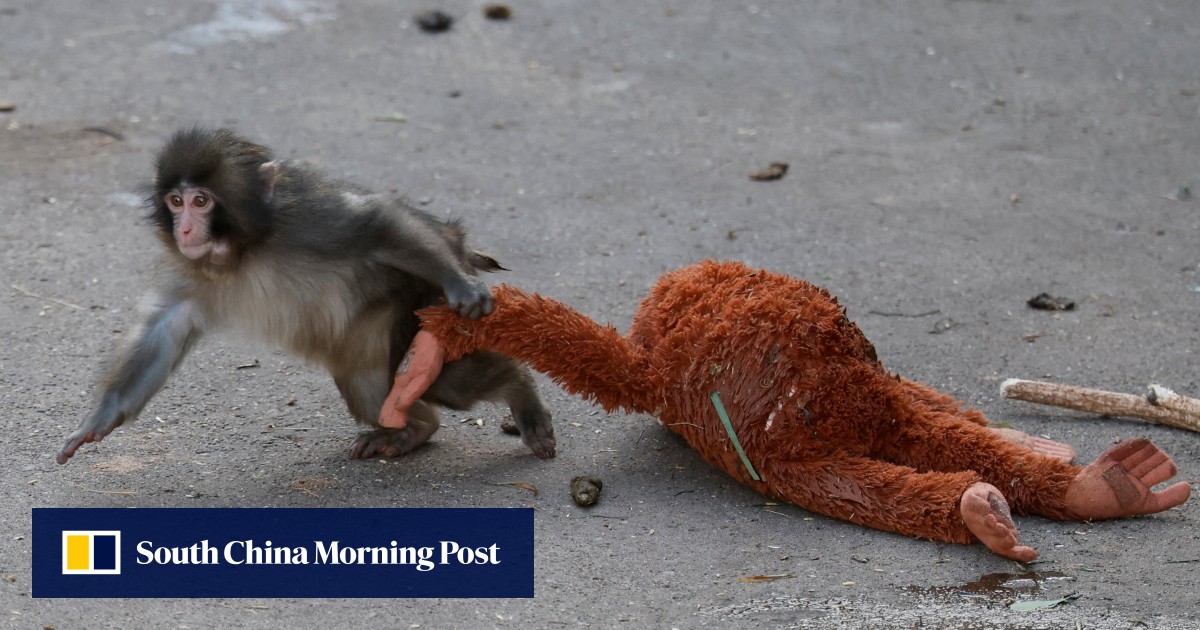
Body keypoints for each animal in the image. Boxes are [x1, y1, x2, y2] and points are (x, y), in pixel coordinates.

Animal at [56, 128, 555, 464]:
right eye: (175, 202)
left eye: (201, 201)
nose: (184, 230)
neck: (246, 250)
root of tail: (460, 242)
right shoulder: (192, 269)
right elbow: (167, 326)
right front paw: (100, 419)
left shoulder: (307, 219)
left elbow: (373, 224)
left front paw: (464, 285)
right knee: (371, 387)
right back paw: (412, 430)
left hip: (422, 302)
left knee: (454, 379)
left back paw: (520, 392)